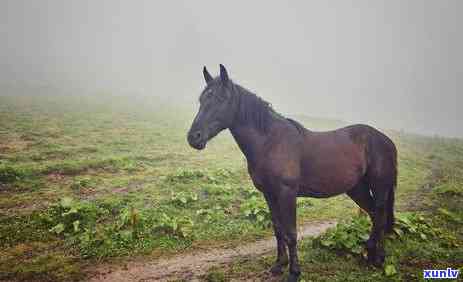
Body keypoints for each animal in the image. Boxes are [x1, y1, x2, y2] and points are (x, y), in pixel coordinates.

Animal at [187, 65, 396, 280]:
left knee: (380, 218)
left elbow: (291, 233)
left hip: (380, 187)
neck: (270, 142)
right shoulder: (269, 194)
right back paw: (369, 255)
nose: (194, 138)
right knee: (374, 216)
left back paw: (378, 259)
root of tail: (385, 140)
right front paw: (279, 265)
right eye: (201, 100)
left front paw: (294, 272)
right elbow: (278, 229)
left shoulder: (287, 193)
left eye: (221, 99)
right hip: (357, 189)